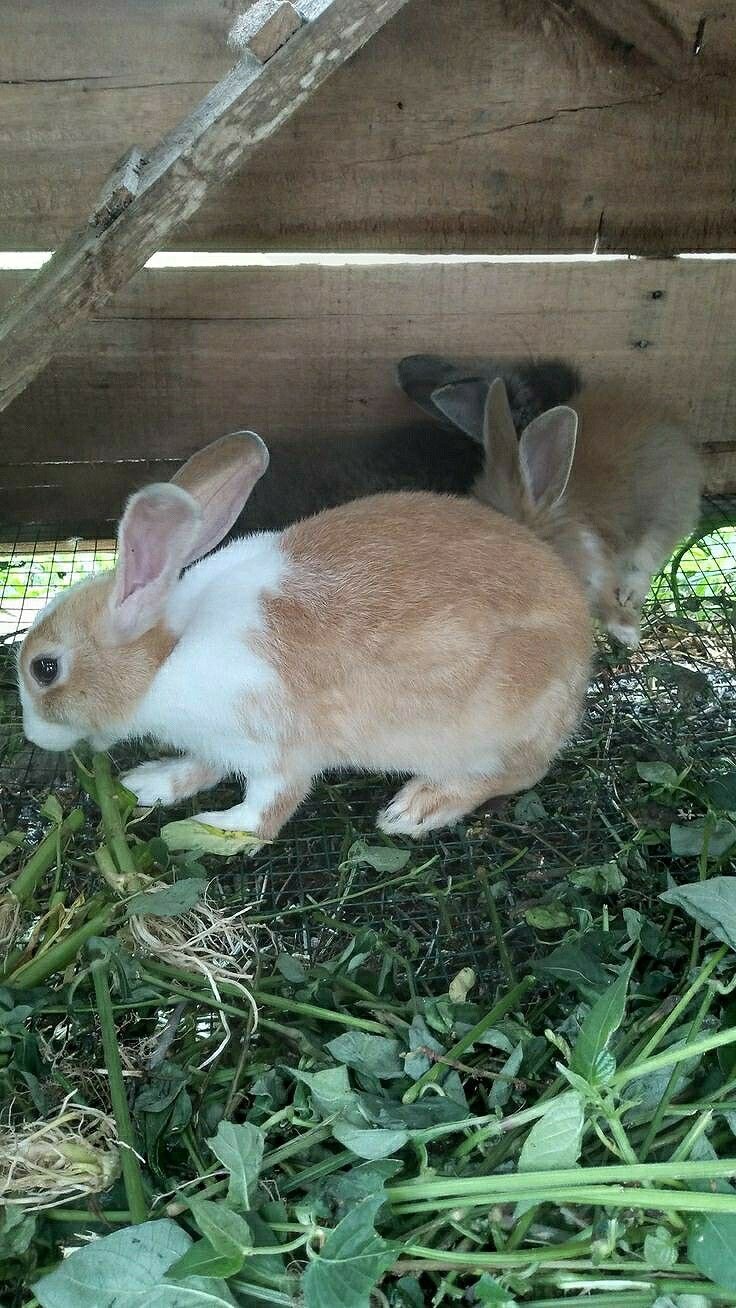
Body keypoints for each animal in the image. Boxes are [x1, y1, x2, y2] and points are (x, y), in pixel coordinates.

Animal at [18, 430, 592, 840]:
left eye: (45, 669)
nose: (33, 736)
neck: (167, 657)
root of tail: (580, 640)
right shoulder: (219, 742)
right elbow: (202, 764)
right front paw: (152, 782)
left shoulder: (278, 751)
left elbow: (266, 809)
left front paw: (214, 828)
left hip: (494, 729)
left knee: (513, 774)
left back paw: (415, 809)